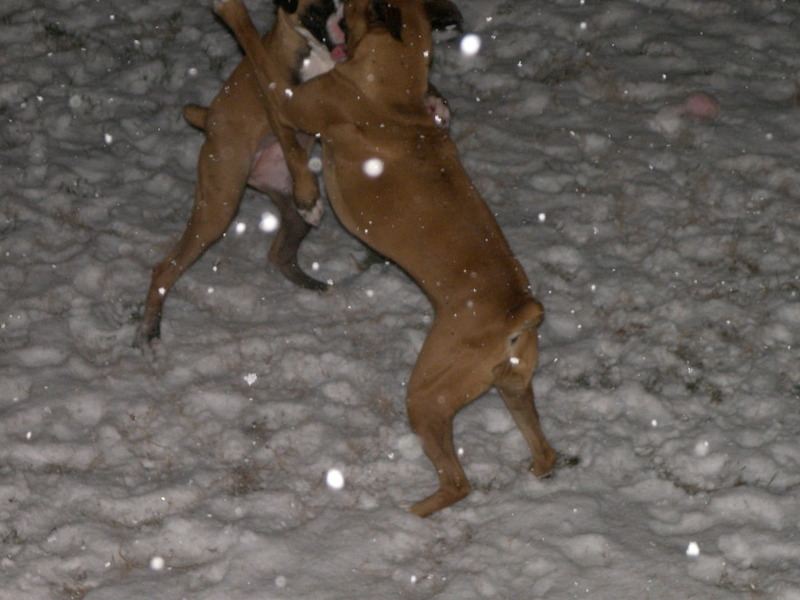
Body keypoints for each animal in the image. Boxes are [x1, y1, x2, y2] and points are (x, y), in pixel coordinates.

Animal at [216, 0, 560, 516]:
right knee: (543, 449)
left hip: (426, 397)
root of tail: (522, 312)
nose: (333, 13)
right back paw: (536, 471)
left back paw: (409, 513)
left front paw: (234, 12)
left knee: (457, 483)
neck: (395, 87)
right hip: (513, 388)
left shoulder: (291, 98)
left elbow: (257, 52)